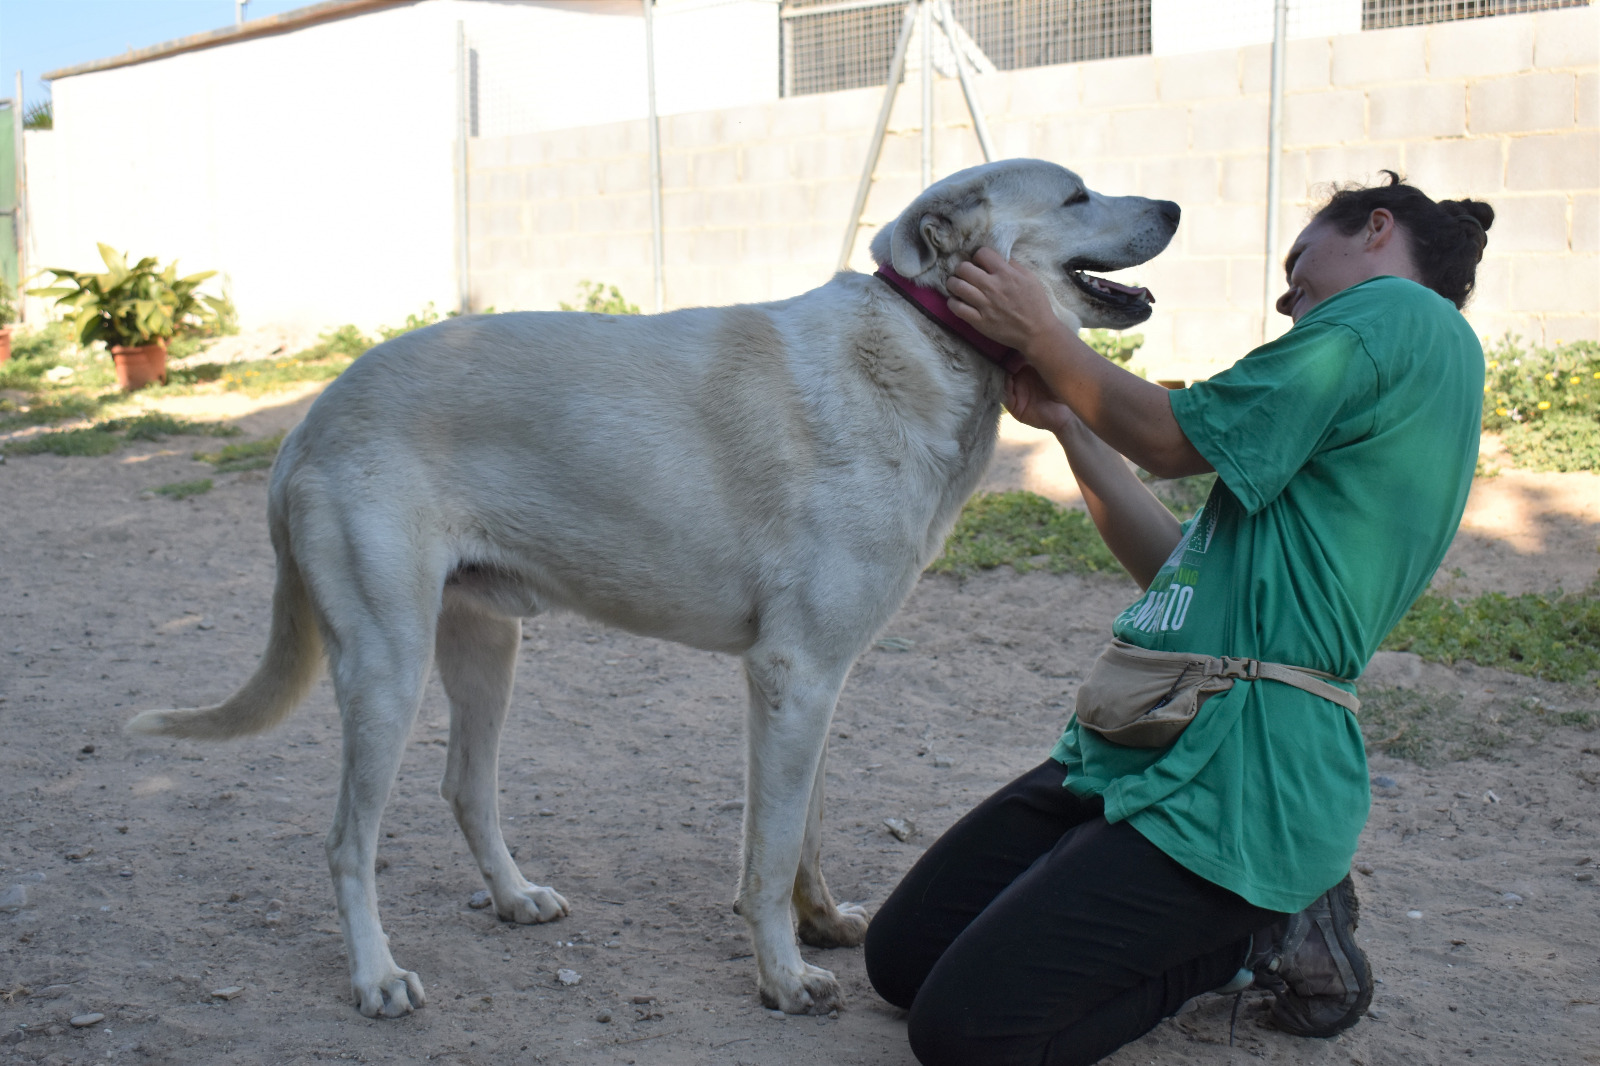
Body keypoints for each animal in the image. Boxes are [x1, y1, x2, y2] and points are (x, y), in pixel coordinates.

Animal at [128, 157, 1177, 1011]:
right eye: (1077, 196)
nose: (1171, 204)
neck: (918, 346)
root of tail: (314, 416)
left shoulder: (816, 685)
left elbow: (802, 833)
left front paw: (821, 927)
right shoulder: (793, 675)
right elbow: (767, 857)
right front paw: (783, 978)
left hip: (484, 646)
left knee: (465, 788)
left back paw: (513, 898)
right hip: (386, 666)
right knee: (349, 841)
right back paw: (377, 978)